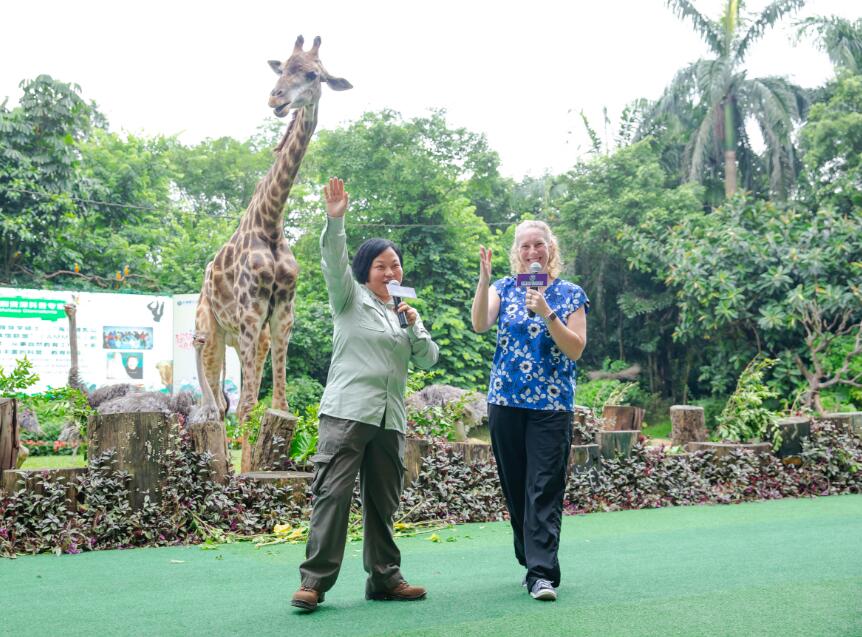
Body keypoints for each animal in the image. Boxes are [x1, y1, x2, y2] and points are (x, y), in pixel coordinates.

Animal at [195, 35, 352, 471]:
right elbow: (247, 407)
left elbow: (278, 404)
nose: (276, 98)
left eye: (313, 74)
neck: (271, 221)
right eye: (282, 68)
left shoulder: (282, 311)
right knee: (218, 405)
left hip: (251, 339)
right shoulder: (250, 310)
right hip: (212, 331)